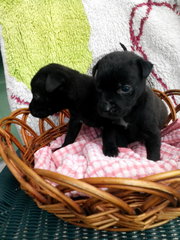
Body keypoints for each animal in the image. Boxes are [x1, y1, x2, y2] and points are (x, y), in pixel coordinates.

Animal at [29, 46, 167, 160]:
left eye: (36, 95)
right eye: (98, 88)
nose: (30, 109)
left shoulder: (109, 123)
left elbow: (108, 136)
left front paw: (110, 150)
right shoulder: (75, 121)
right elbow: (70, 136)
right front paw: (62, 147)